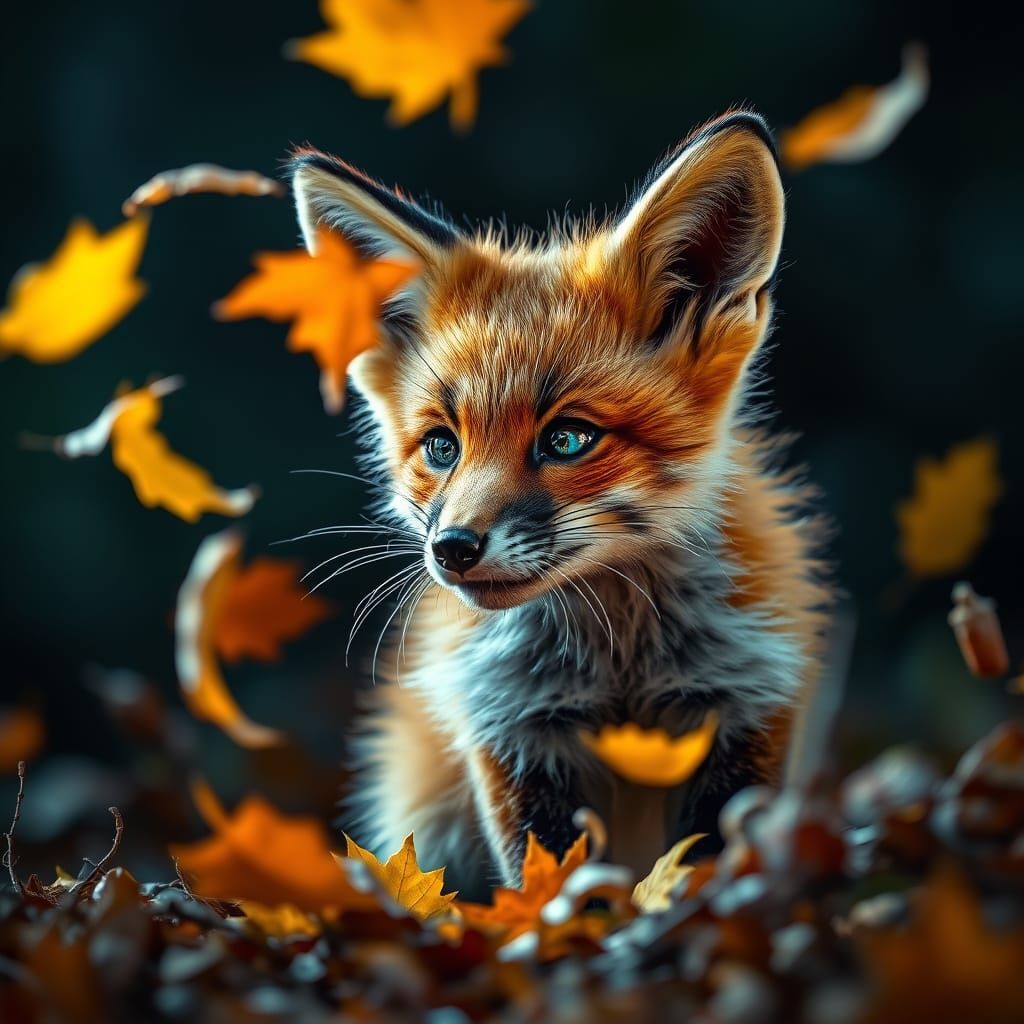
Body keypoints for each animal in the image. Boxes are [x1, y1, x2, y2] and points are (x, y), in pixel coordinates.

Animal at [290, 110, 832, 893]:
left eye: (569, 439)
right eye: (442, 446)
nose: (452, 549)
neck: (622, 661)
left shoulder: (748, 707)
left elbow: (705, 872)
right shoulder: (511, 739)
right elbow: (550, 889)